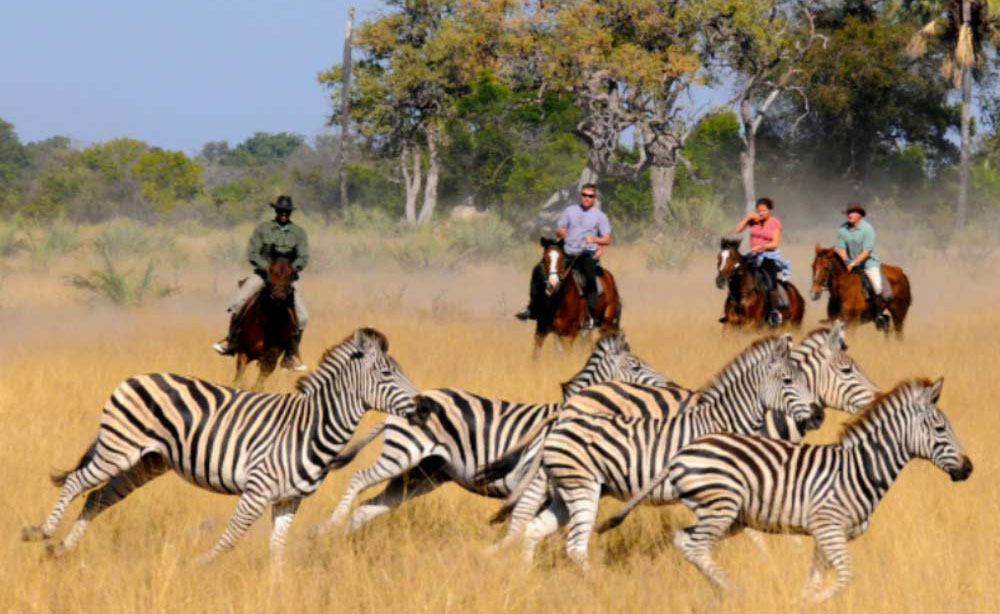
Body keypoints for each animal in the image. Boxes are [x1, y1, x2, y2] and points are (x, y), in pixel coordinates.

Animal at [20, 330, 418, 572]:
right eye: (386, 375)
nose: (423, 406)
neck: (310, 428)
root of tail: (133, 378)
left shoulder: (288, 500)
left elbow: (277, 550)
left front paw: (277, 591)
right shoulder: (256, 491)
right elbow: (230, 539)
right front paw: (197, 566)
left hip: (147, 462)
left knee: (98, 497)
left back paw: (61, 549)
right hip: (119, 450)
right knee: (75, 482)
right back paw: (41, 532)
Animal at [232, 256, 298, 390]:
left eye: (291, 273)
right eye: (270, 270)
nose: (278, 296)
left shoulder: (271, 356)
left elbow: (262, 377)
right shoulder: (244, 351)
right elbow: (240, 374)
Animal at [310, 332, 672, 540]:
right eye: (637, 367)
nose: (672, 385)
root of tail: (409, 402)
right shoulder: (537, 484)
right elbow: (531, 525)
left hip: (422, 475)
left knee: (370, 506)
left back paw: (345, 544)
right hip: (402, 455)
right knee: (358, 479)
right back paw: (329, 529)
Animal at [612, 378, 972, 604]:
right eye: (941, 428)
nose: (968, 469)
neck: (859, 469)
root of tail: (681, 453)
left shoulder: (829, 533)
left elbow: (817, 575)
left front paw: (802, 598)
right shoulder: (828, 526)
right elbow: (845, 576)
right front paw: (808, 602)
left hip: (726, 517)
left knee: (684, 540)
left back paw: (721, 590)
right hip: (722, 507)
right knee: (698, 546)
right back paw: (734, 590)